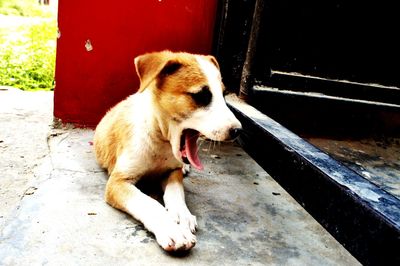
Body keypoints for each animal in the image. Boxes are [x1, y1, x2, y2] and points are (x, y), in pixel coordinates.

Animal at [94, 51, 241, 252]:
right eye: (201, 96)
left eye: (224, 95)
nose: (238, 131)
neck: (160, 140)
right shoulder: (118, 182)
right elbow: (148, 203)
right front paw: (172, 230)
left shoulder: (172, 171)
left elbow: (175, 191)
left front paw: (181, 214)